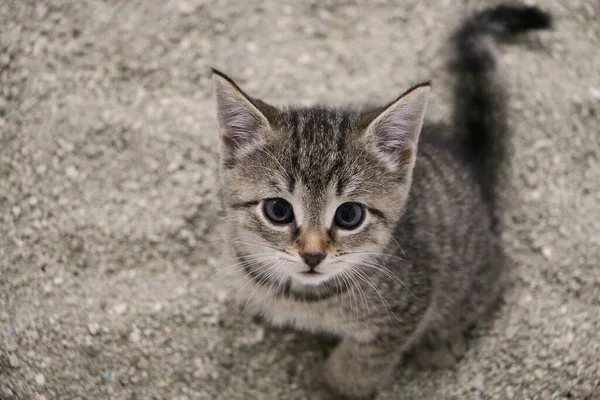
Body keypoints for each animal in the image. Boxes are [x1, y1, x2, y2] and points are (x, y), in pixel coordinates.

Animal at [213, 4, 552, 398]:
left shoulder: (403, 311)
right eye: (278, 210)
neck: (306, 299)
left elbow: (357, 367)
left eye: (349, 215)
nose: (312, 255)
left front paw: (328, 386)